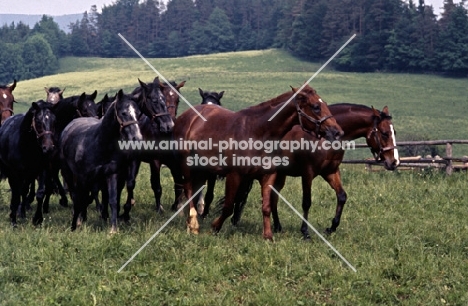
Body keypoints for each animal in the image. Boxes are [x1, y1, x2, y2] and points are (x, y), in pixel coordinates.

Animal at [60, 89, 144, 233]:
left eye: (138, 114)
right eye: (124, 113)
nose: (137, 138)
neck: (99, 143)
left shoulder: (111, 174)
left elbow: (113, 200)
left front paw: (113, 229)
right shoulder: (84, 177)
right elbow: (80, 198)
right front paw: (77, 223)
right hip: (69, 173)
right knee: (75, 194)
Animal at [174, 85, 342, 240]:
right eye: (316, 107)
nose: (337, 132)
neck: (258, 131)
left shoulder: (268, 175)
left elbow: (266, 206)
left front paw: (268, 236)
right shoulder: (234, 175)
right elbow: (228, 206)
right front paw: (215, 227)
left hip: (202, 170)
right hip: (188, 166)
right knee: (188, 189)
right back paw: (193, 224)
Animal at [216, 103, 398, 239]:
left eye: (394, 132)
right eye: (384, 133)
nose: (394, 162)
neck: (325, 138)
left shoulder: (331, 172)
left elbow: (342, 196)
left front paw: (331, 227)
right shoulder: (308, 173)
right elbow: (307, 202)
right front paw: (305, 232)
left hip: (279, 175)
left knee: (273, 198)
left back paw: (277, 226)